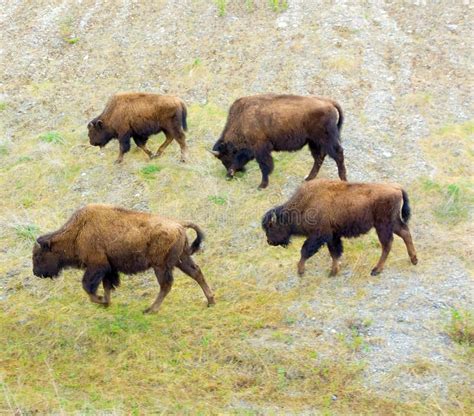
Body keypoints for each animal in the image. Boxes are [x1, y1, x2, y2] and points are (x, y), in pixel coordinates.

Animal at [34, 203, 216, 314]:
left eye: (38, 255)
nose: (36, 273)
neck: (77, 232)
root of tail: (179, 223)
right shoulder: (109, 269)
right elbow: (107, 286)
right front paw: (106, 302)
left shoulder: (97, 266)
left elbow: (88, 287)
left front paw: (100, 300)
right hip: (181, 259)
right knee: (196, 273)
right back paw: (211, 301)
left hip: (161, 265)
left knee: (166, 284)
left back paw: (150, 310)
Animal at [209, 94, 346, 188]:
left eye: (225, 157)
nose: (230, 175)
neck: (242, 120)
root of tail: (329, 103)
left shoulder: (260, 149)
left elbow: (264, 166)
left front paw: (262, 186)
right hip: (314, 142)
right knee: (319, 158)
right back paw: (308, 179)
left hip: (326, 140)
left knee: (338, 155)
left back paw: (343, 179)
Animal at [262, 180, 418, 278]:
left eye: (271, 226)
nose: (269, 241)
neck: (305, 204)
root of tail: (396, 188)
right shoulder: (333, 235)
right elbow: (335, 252)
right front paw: (333, 272)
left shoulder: (319, 235)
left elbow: (305, 251)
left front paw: (300, 271)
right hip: (392, 223)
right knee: (405, 233)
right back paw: (414, 260)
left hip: (383, 225)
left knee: (387, 244)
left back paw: (376, 270)